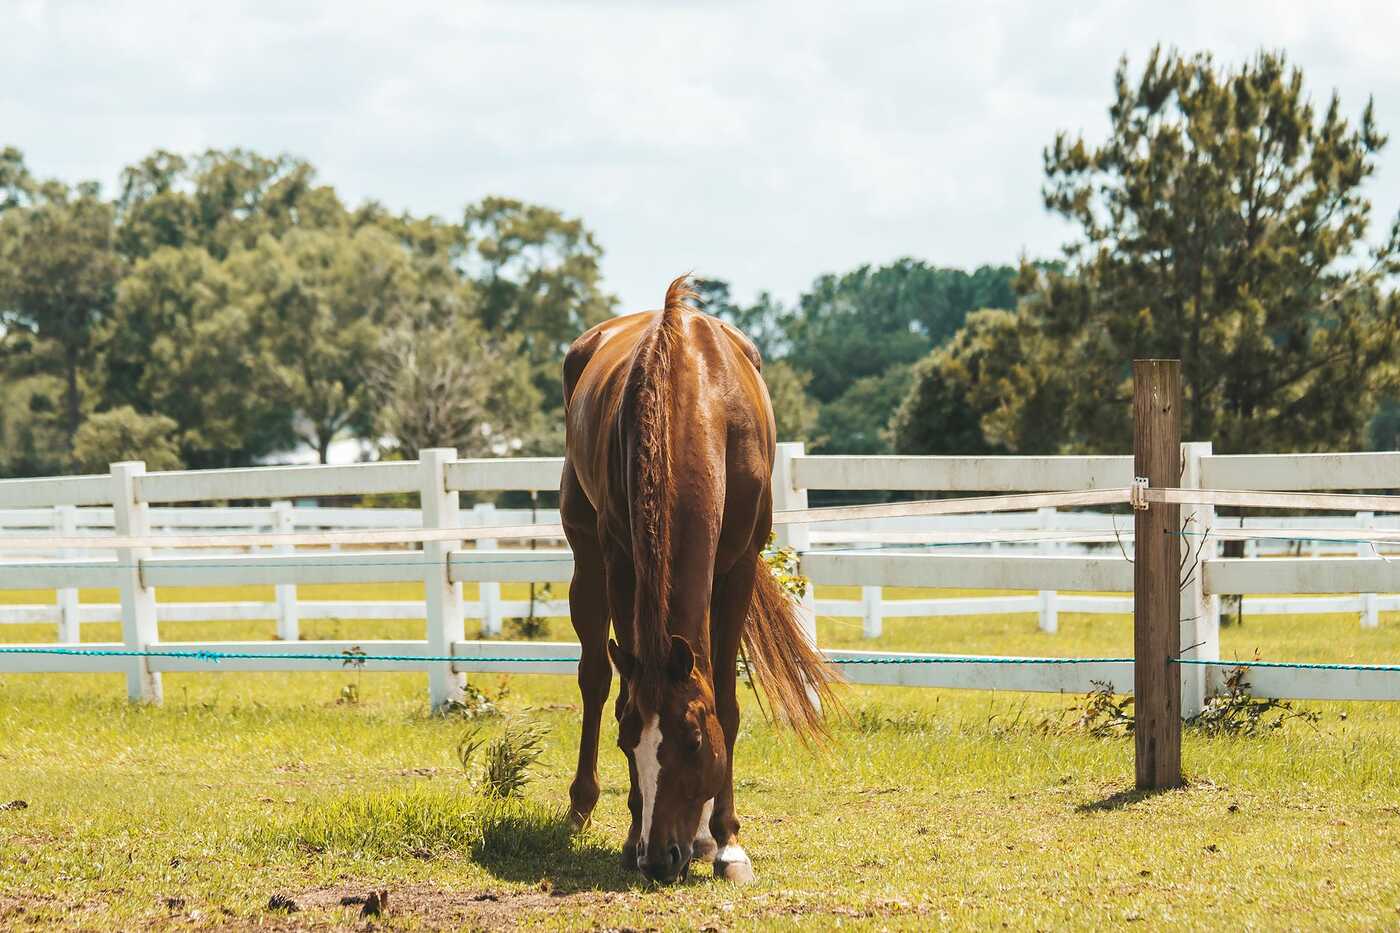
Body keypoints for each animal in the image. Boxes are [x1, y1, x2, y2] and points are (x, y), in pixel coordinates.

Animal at [559, 275, 839, 884]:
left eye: (691, 741)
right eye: (627, 741)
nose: (658, 857)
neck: (692, 393)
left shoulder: (738, 565)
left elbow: (727, 702)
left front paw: (728, 841)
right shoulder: (622, 561)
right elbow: (620, 691)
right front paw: (631, 835)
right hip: (586, 561)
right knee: (594, 676)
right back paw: (582, 805)